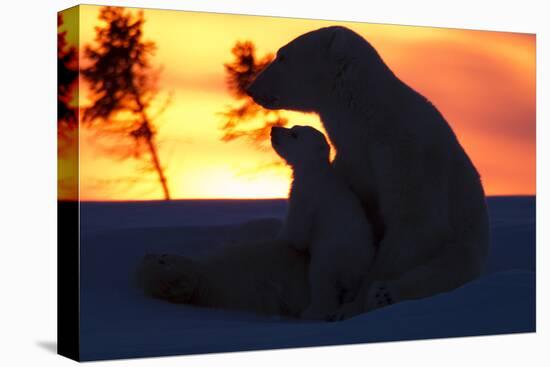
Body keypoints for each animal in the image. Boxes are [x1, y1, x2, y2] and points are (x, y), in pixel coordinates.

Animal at [248, 26, 490, 320]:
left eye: (282, 56)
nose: (251, 88)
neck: (370, 120)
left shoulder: (406, 150)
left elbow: (416, 222)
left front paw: (352, 305)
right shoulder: (352, 159)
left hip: (469, 238)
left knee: (455, 263)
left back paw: (385, 293)